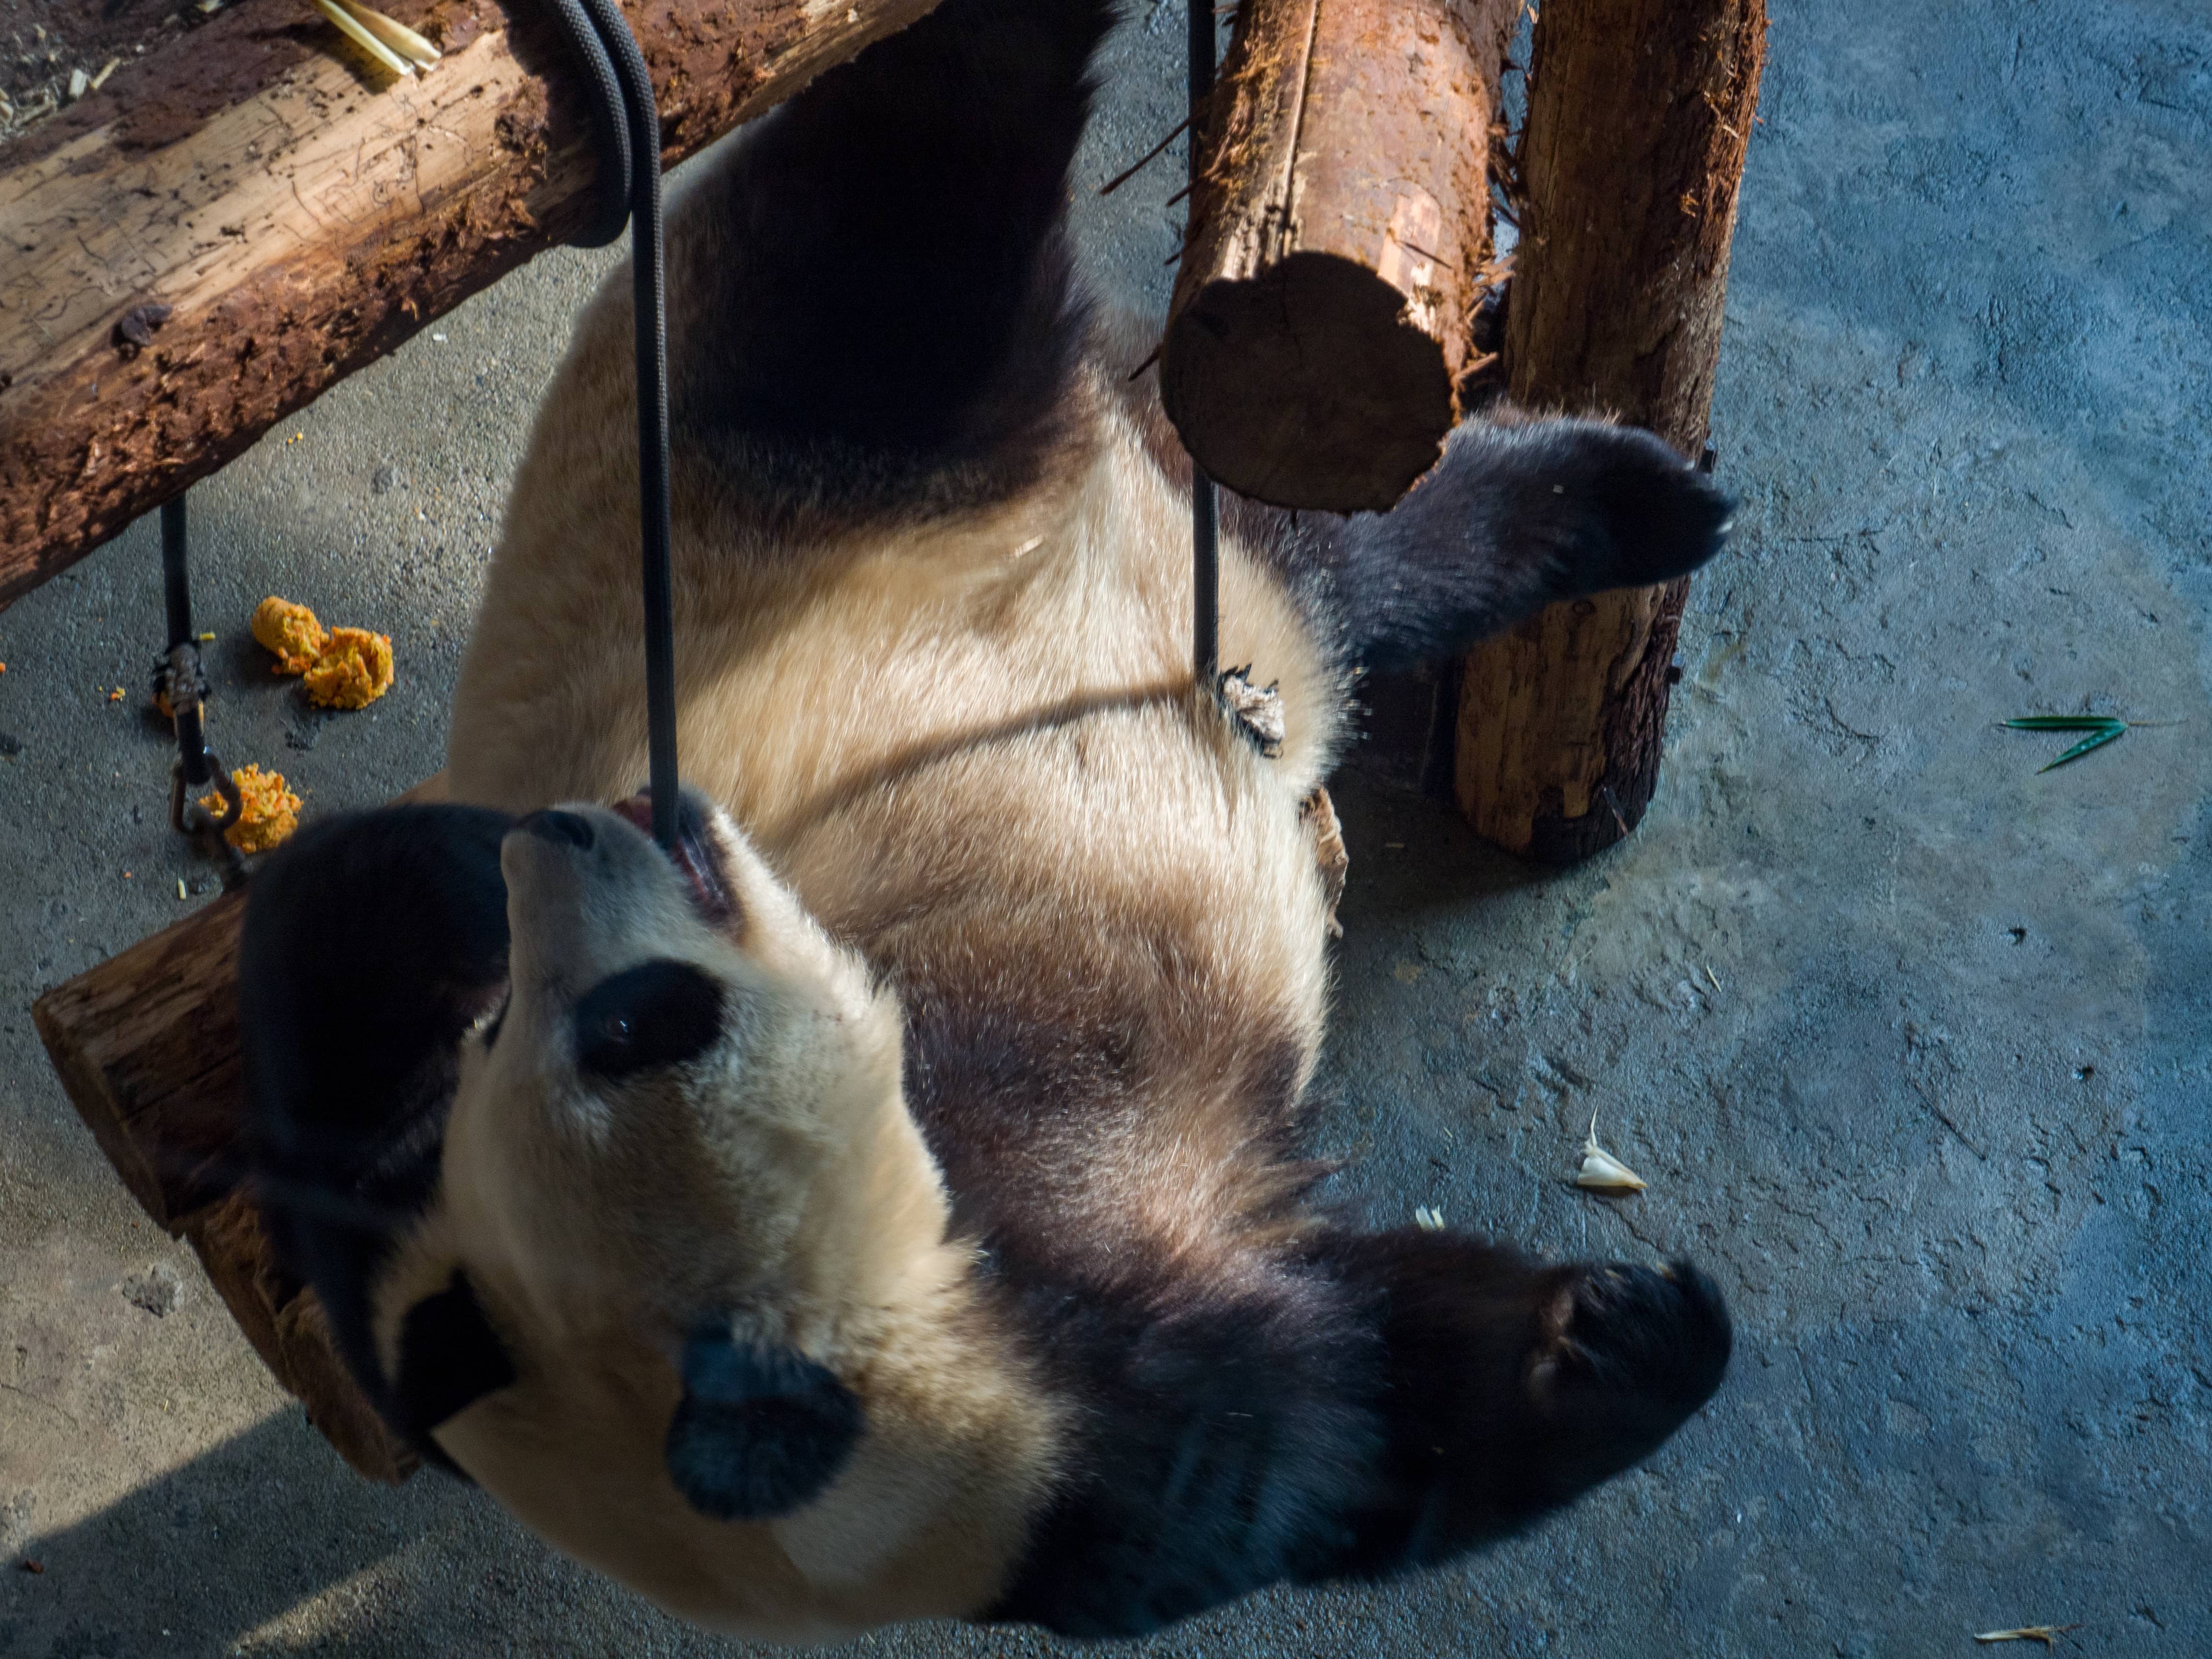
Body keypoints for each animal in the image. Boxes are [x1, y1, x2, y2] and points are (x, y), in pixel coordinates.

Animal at [238, 0, 1725, 1646]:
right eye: (638, 1024)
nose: (591, 826)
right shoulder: (1073, 1443)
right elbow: (1354, 1425)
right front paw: (1627, 1328)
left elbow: (325, 967)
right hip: (892, 434)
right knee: (953, 228)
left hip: (916, 472)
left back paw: (1647, 494)